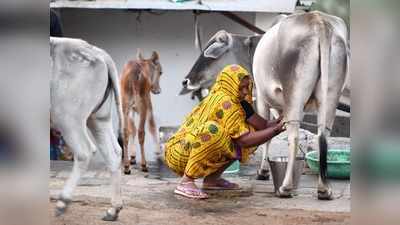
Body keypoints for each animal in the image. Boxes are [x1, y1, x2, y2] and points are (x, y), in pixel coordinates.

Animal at [51, 37, 123, 221]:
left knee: (84, 152)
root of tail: (96, 51)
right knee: (114, 153)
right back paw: (113, 210)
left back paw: (62, 202)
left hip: (67, 118)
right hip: (99, 119)